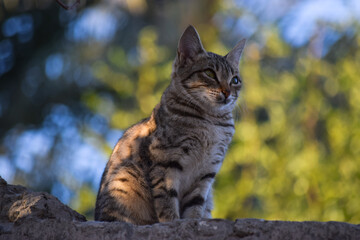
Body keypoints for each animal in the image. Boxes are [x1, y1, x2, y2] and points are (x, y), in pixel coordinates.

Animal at [94, 25, 246, 224]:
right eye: (210, 73)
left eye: (235, 80)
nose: (227, 92)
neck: (211, 121)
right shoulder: (166, 163)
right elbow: (167, 201)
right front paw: (173, 221)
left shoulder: (207, 172)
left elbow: (195, 205)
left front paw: (193, 222)